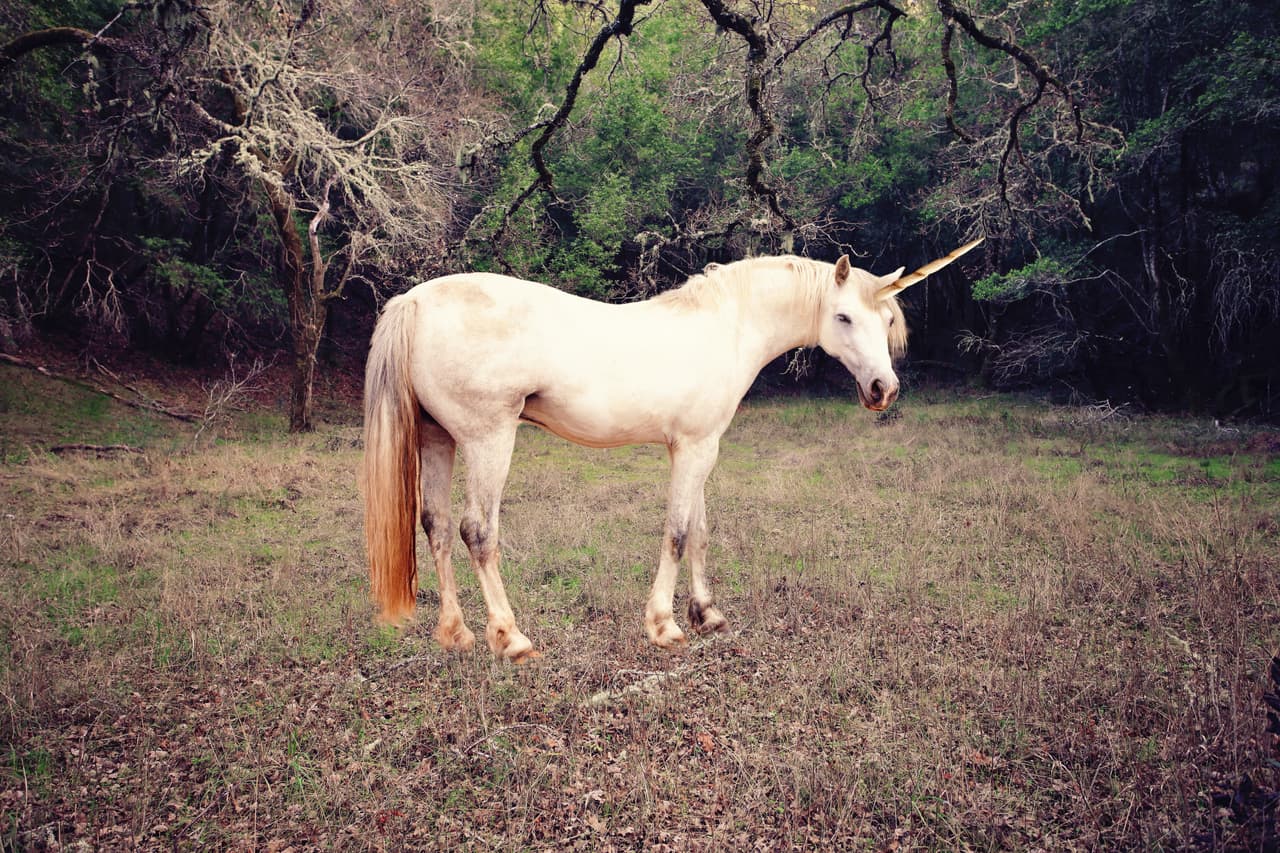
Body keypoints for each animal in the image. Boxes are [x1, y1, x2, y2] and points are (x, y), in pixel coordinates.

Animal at [363, 240, 982, 662]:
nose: (883, 390)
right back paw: (511, 638)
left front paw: (708, 614)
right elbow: (679, 533)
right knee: (477, 532)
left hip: (438, 439)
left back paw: (456, 634)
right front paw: (664, 625)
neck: (725, 328)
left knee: (437, 527)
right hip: (488, 440)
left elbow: (701, 530)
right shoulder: (693, 449)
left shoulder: (699, 448)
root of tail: (415, 300)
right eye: (845, 316)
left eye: (887, 318)